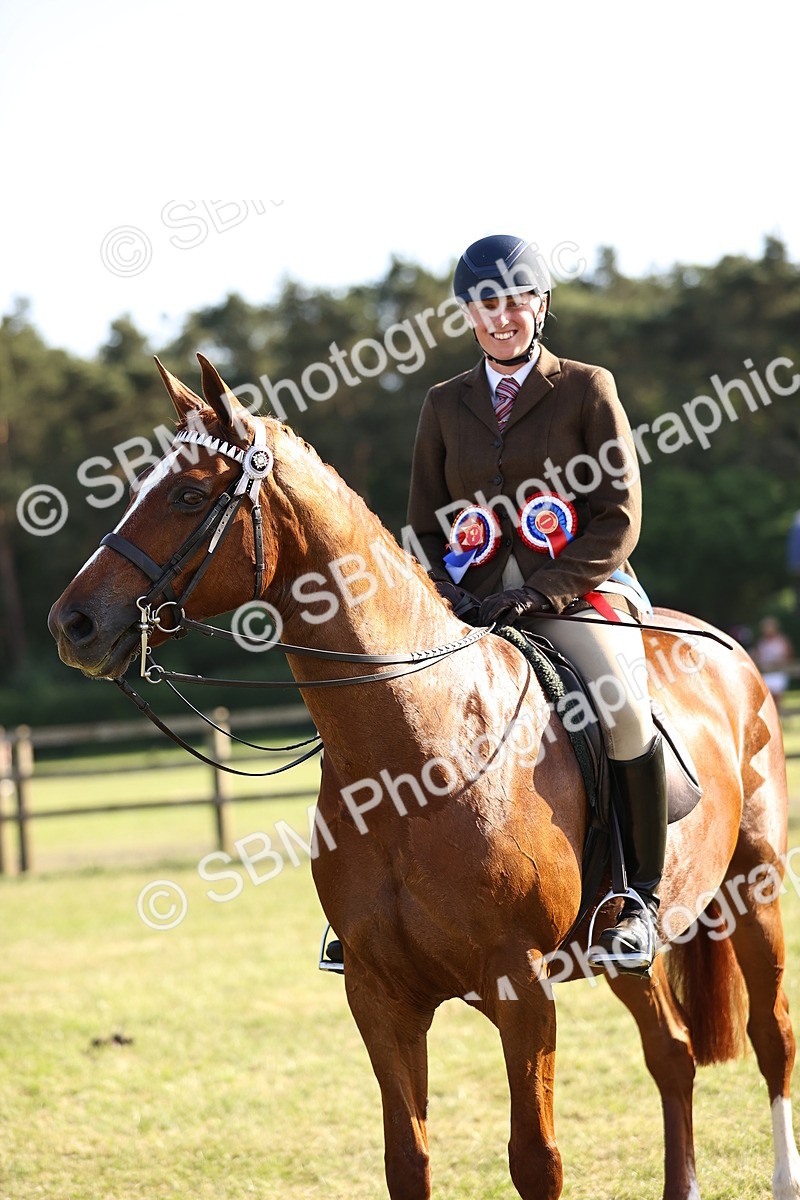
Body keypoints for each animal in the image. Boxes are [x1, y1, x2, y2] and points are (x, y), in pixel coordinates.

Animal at [48, 354, 800, 1200]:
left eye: (185, 494)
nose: (72, 624)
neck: (413, 752)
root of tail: (724, 645)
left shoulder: (521, 987)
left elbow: (535, 1159)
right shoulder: (379, 995)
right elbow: (406, 1160)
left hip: (754, 887)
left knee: (772, 1036)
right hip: (633, 942)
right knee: (671, 1054)